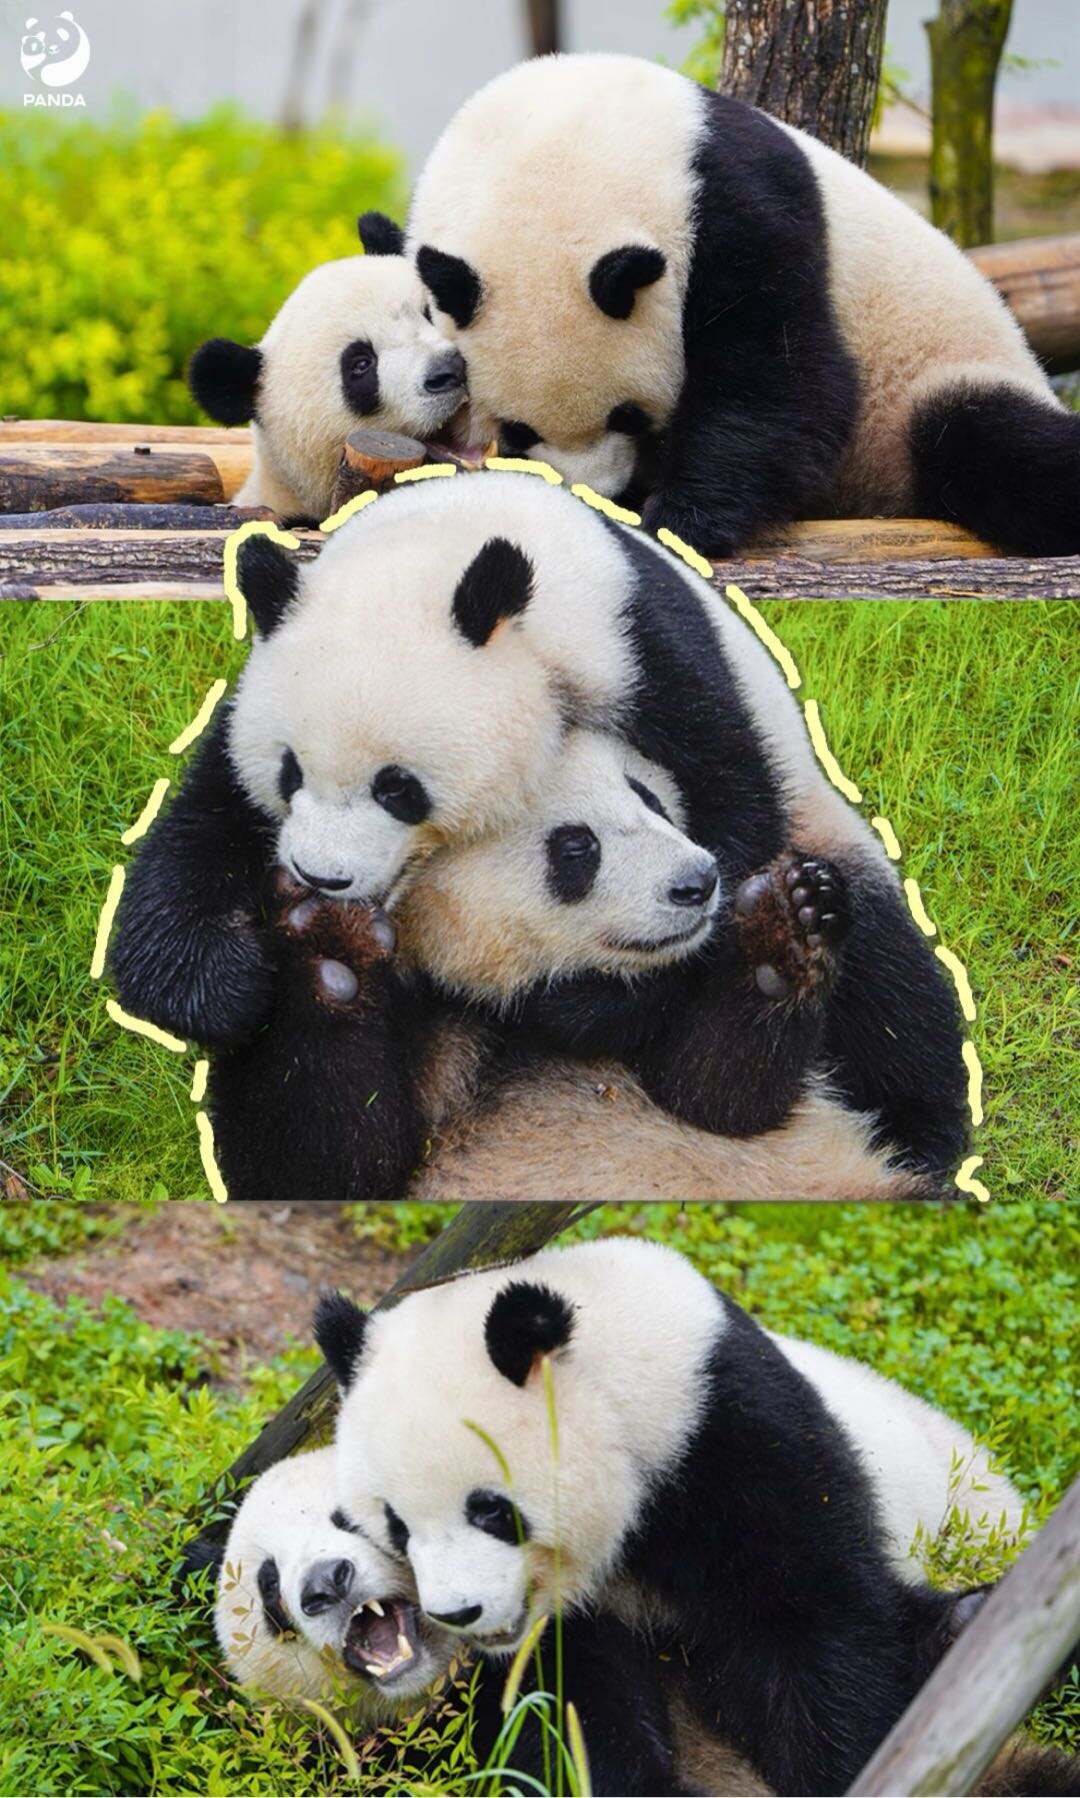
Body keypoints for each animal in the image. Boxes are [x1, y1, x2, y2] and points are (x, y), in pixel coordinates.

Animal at [109, 471, 967, 1188]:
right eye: (289, 774)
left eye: (399, 789)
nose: (322, 876)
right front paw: (259, 972)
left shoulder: (654, 663)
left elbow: (736, 808)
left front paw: (590, 1001)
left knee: (895, 1001)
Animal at [314, 1237, 1030, 1796]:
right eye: (395, 1526)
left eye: (490, 1509)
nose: (459, 1612)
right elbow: (571, 1704)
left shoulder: (727, 1432)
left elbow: (813, 1624)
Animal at [408, 53, 1079, 558]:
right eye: (518, 431)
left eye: (629, 416)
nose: (604, 492)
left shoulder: (736, 202)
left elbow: (781, 371)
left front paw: (682, 520)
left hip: (939, 373)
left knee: (986, 439)